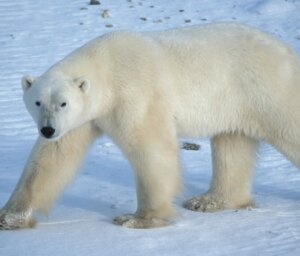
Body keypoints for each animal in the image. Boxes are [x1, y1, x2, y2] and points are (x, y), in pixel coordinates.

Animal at [0, 22, 300, 230]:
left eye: (63, 103)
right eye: (38, 102)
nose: (47, 130)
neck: (107, 65)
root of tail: (286, 50)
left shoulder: (134, 94)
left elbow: (151, 149)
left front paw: (137, 219)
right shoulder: (82, 119)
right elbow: (52, 159)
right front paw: (10, 217)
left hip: (265, 90)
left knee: (288, 128)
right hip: (234, 103)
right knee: (231, 145)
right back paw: (207, 201)